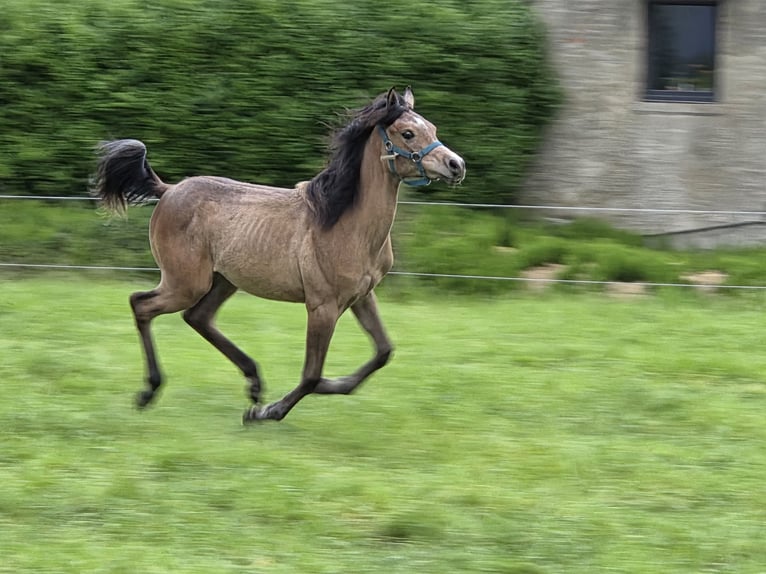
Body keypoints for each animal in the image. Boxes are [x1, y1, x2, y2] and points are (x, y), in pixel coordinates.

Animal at [92, 87, 466, 422]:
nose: (456, 165)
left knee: (197, 317)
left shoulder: (362, 296)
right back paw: (150, 391)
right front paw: (267, 412)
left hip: (223, 280)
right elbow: (312, 374)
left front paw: (328, 386)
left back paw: (254, 382)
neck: (346, 223)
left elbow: (383, 352)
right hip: (185, 282)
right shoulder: (322, 306)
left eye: (432, 128)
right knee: (142, 305)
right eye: (407, 132)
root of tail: (168, 190)